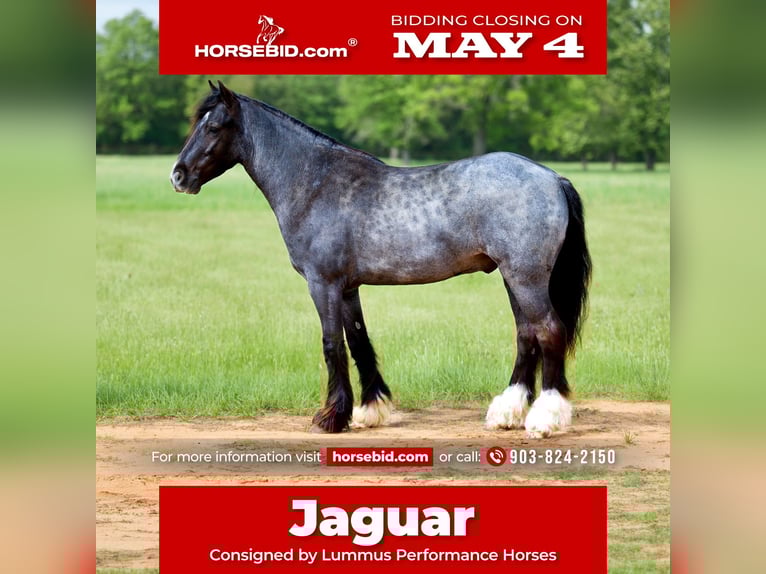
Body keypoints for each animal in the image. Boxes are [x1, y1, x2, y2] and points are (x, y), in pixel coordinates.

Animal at [170, 81, 592, 437]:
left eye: (214, 127)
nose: (178, 176)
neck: (316, 183)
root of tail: (552, 178)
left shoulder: (322, 283)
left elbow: (332, 344)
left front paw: (331, 418)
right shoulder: (348, 287)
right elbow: (358, 340)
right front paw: (369, 411)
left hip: (526, 277)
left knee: (548, 331)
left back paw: (544, 419)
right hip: (512, 277)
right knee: (526, 335)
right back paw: (507, 412)